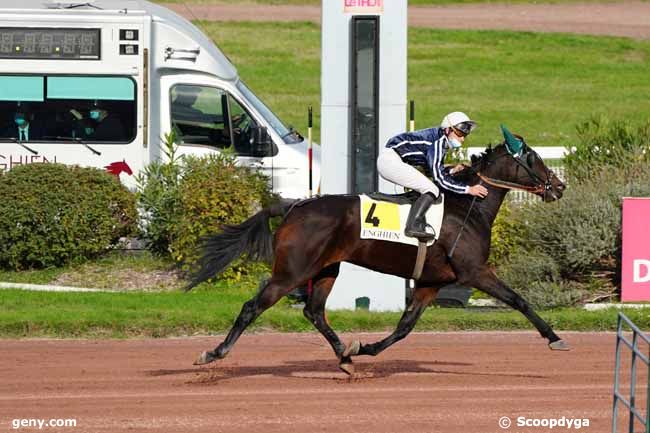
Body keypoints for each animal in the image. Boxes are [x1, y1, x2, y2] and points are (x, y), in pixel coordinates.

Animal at [185, 132, 564, 374]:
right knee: (253, 307)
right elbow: (518, 300)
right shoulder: (474, 272)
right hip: (291, 272)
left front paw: (364, 349)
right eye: (533, 159)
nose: (559, 186)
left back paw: (346, 358)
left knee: (314, 311)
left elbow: (404, 327)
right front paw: (555, 339)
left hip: (326, 269)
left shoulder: (431, 283)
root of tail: (293, 206)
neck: (468, 208)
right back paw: (213, 353)